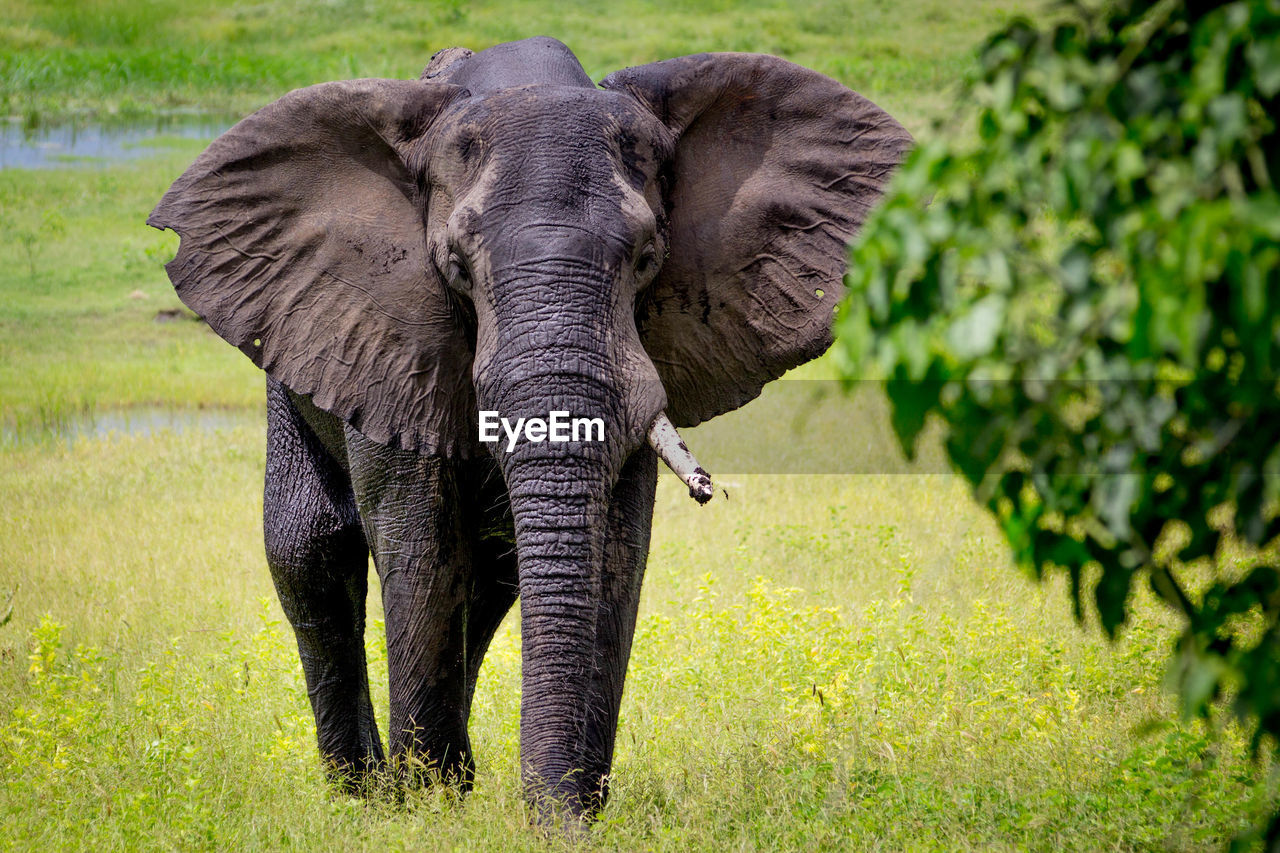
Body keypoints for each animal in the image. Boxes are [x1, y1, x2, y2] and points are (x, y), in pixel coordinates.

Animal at [147, 36, 911, 819]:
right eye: (456, 267)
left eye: (647, 261)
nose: (553, 817)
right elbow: (419, 543)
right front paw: (428, 811)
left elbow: (617, 550)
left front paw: (565, 809)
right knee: (312, 549)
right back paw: (366, 793)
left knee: (489, 579)